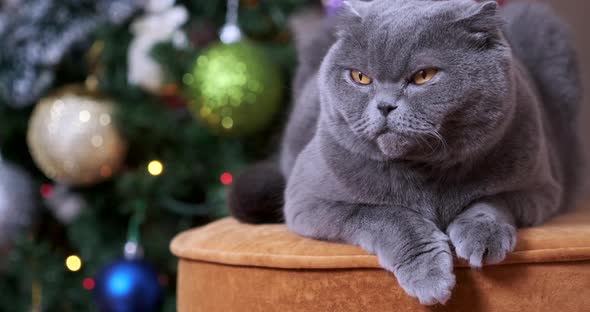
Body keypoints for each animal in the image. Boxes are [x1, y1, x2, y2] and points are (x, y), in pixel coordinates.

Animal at [228, 0, 584, 304]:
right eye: (360, 77)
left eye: (423, 76)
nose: (384, 106)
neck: (424, 171)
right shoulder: (307, 200)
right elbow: (385, 215)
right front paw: (428, 276)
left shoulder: (539, 188)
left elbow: (491, 201)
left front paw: (483, 237)